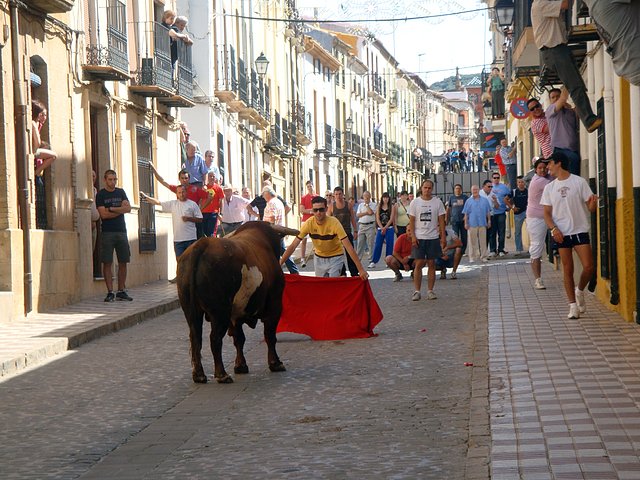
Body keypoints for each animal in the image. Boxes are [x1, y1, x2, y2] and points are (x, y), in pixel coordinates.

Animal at [176, 220, 298, 382]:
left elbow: (239, 338)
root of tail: (202, 244)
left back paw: (199, 375)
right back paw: (221, 375)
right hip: (220, 312)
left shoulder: (235, 315)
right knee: (215, 339)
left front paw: (240, 366)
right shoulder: (274, 305)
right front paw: (275, 363)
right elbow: (269, 335)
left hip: (192, 311)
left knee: (196, 338)